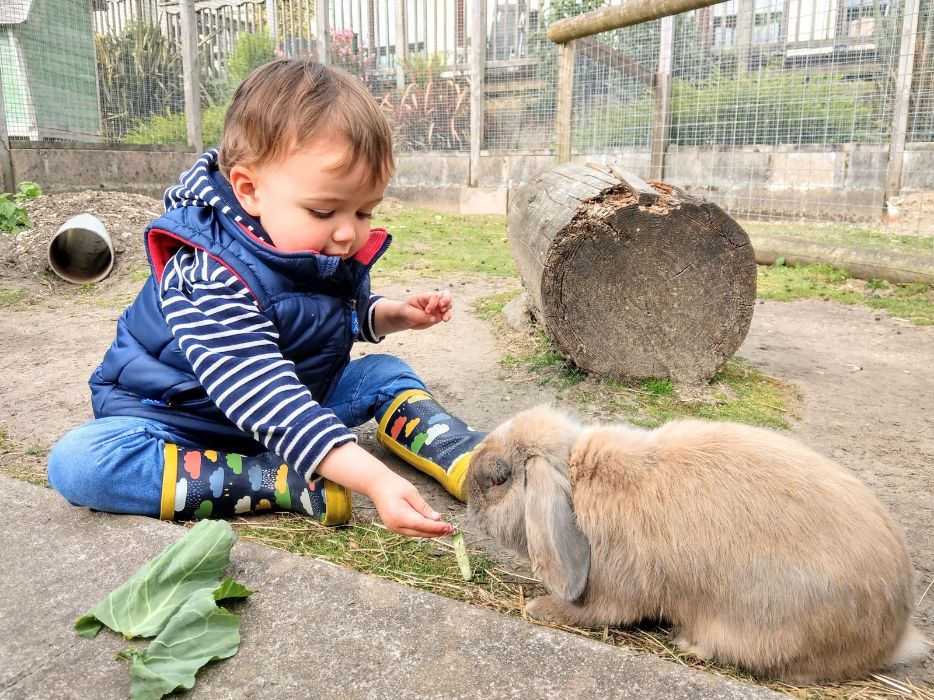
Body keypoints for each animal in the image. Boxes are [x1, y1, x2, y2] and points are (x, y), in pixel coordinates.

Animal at [465, 405, 929, 683]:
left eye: (499, 478)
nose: (469, 499)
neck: (578, 486)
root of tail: (894, 633)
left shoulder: (617, 591)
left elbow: (597, 613)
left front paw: (538, 608)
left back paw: (691, 643)